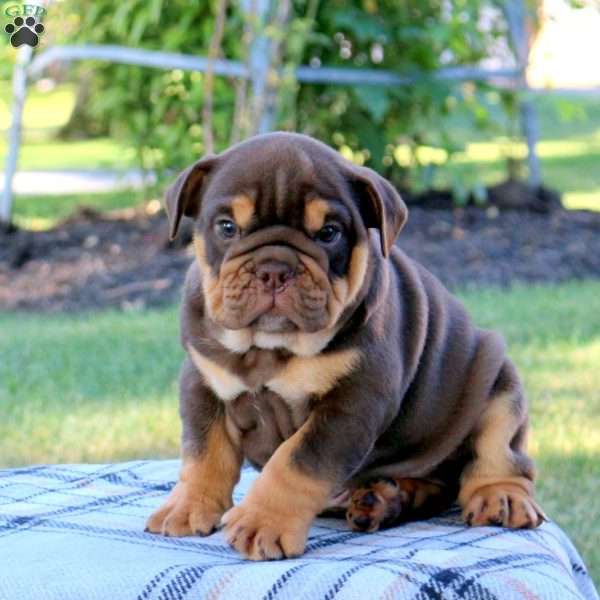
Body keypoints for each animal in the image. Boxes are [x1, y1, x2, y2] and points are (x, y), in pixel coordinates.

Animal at [145, 131, 544, 556]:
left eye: (329, 233)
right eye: (226, 227)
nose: (274, 269)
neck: (271, 347)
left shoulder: (351, 404)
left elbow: (296, 462)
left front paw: (263, 522)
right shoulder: (203, 383)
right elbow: (204, 453)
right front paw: (188, 506)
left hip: (500, 382)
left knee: (497, 452)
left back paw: (499, 496)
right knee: (434, 485)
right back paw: (382, 500)